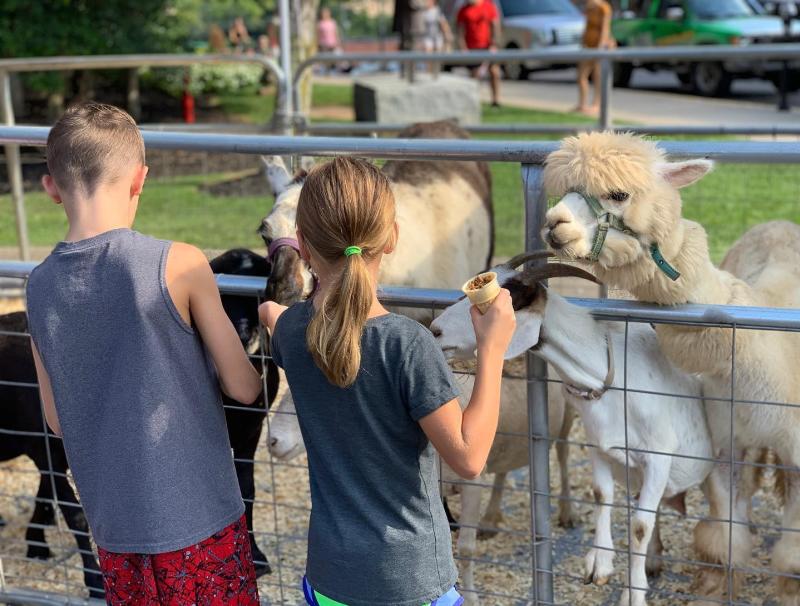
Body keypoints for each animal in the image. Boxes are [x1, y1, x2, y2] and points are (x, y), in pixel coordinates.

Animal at [428, 258, 708, 606]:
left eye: (494, 304)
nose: (435, 330)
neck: (608, 369)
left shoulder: (659, 455)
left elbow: (640, 526)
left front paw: (632, 594)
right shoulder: (600, 445)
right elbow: (602, 495)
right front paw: (599, 565)